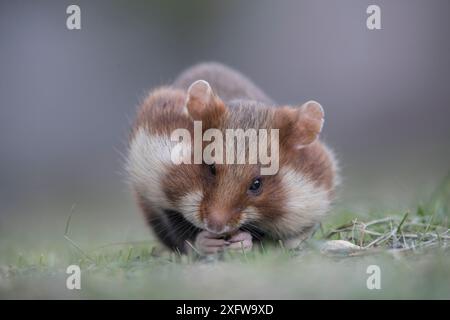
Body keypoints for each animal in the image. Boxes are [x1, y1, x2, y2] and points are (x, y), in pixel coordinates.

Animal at [126, 63, 338, 255]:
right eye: (210, 167)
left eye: (257, 184)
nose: (215, 227)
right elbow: (178, 228)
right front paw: (208, 242)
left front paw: (242, 242)